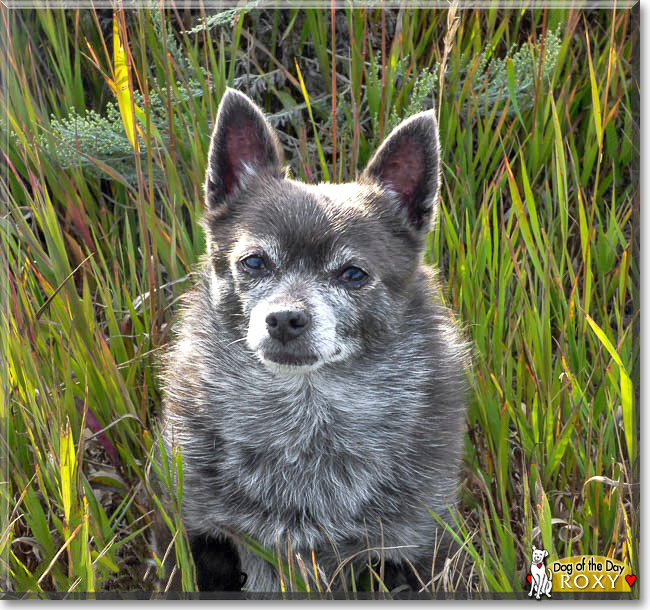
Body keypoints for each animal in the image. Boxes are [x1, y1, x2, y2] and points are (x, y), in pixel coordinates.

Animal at [159, 88, 468, 592]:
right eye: (254, 262)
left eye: (353, 274)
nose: (285, 319)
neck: (307, 413)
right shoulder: (195, 534)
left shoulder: (412, 550)